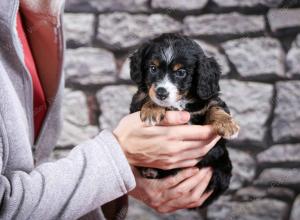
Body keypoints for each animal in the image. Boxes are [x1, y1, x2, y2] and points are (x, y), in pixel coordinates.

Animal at [128, 33, 239, 208]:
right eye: (153, 68)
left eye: (181, 72)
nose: (161, 92)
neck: (180, 102)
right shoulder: (137, 101)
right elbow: (147, 96)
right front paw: (153, 108)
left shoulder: (207, 99)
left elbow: (215, 106)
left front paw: (227, 125)